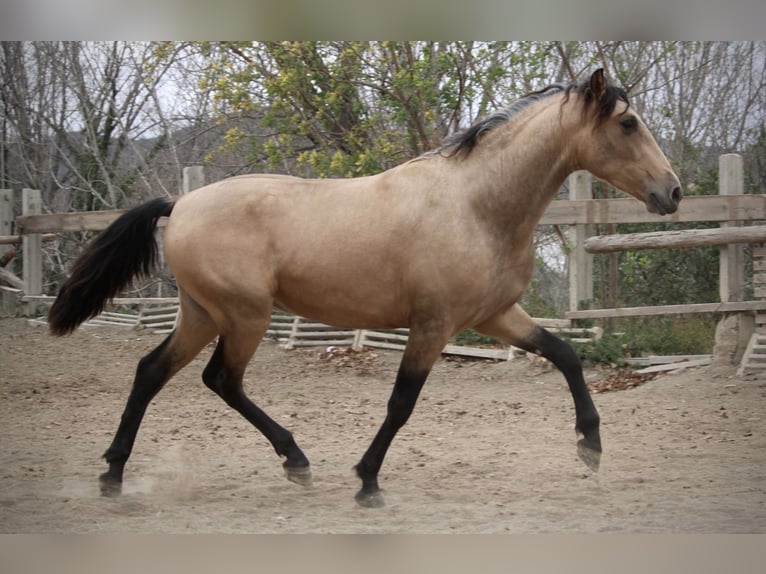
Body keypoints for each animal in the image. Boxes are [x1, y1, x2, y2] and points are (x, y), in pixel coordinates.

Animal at [48, 71, 684, 508]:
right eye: (628, 123)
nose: (673, 192)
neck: (476, 204)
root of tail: (179, 204)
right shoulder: (433, 325)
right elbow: (401, 403)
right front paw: (367, 481)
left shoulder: (496, 315)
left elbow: (565, 354)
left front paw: (590, 447)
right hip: (244, 315)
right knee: (221, 379)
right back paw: (295, 461)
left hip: (203, 313)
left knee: (152, 372)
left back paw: (114, 474)